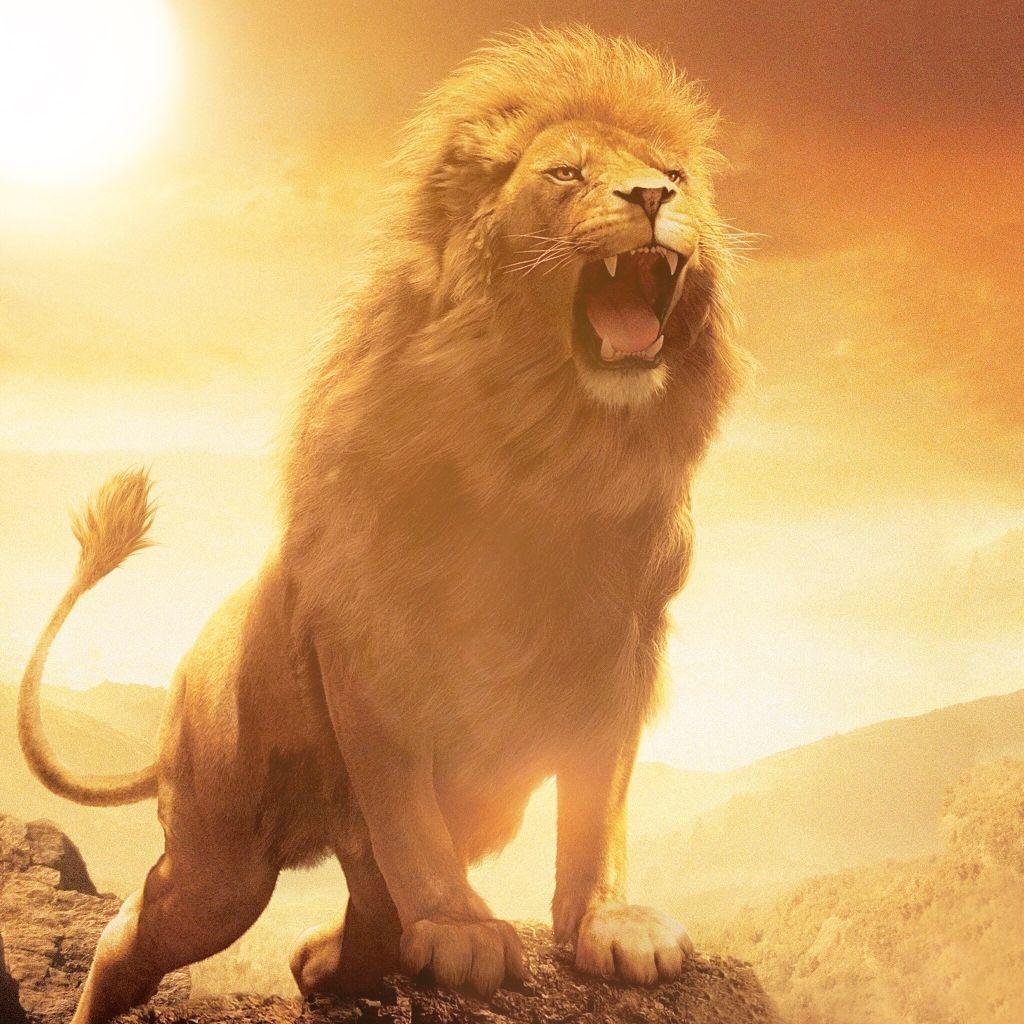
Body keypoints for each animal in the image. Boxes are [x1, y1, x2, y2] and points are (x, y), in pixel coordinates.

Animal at [17, 27, 745, 1024]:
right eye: (566, 173)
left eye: (673, 172)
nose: (650, 199)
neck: (551, 457)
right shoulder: (372, 642)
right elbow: (405, 804)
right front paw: (462, 931)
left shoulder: (623, 641)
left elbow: (599, 798)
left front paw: (610, 924)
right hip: (220, 859)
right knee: (143, 927)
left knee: (355, 904)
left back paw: (337, 961)